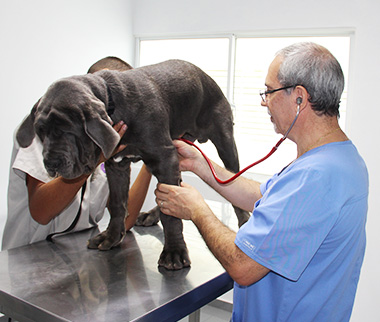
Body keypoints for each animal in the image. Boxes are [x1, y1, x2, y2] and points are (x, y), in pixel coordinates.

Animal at [17, 59, 249, 270]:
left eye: (66, 130)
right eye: (40, 131)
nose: (51, 162)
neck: (113, 104)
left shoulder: (164, 157)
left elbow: (171, 215)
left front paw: (174, 252)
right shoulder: (116, 165)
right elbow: (118, 203)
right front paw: (111, 237)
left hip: (224, 141)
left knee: (232, 181)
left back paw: (244, 221)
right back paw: (151, 214)